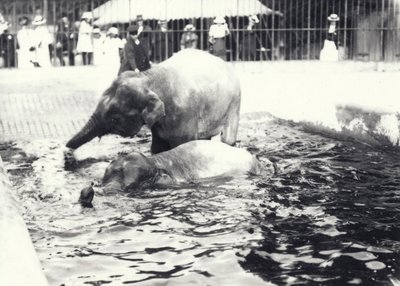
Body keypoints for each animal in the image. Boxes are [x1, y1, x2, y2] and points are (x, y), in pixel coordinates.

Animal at [66, 48, 241, 154]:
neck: (149, 78)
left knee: (227, 138)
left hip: (235, 102)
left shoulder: (185, 113)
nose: (66, 152)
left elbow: (182, 145)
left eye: (115, 118)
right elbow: (157, 148)